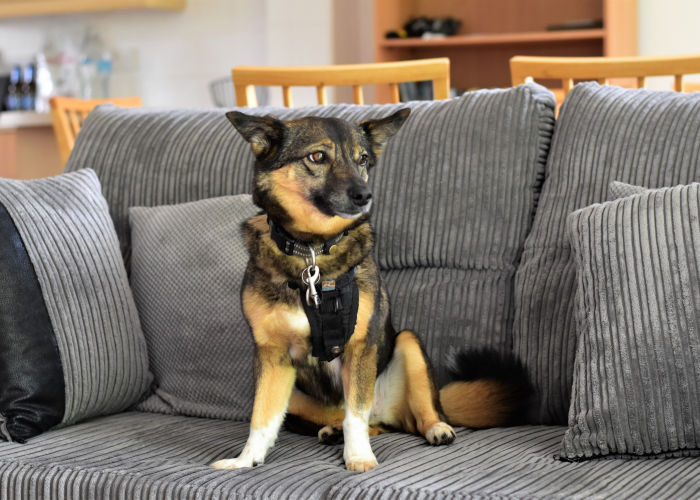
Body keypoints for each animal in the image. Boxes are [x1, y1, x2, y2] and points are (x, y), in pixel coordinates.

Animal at [212, 107, 532, 470]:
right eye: (317, 156)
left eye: (363, 159)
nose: (365, 196)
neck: (311, 251)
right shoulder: (271, 357)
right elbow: (262, 417)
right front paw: (246, 460)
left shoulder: (359, 347)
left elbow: (356, 415)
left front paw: (359, 457)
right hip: (297, 395)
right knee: (356, 422)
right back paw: (331, 431)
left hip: (408, 345)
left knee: (408, 416)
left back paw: (435, 428)